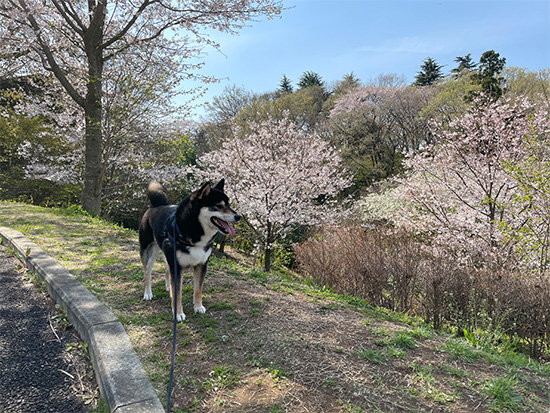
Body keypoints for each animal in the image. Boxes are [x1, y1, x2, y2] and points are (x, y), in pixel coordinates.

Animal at [139, 181, 240, 322]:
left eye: (229, 204)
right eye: (219, 206)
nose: (238, 216)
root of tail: (156, 206)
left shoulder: (201, 265)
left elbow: (198, 289)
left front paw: (198, 307)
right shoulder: (176, 266)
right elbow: (178, 293)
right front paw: (178, 313)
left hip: (167, 256)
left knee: (166, 271)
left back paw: (168, 288)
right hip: (149, 252)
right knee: (147, 273)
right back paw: (148, 293)